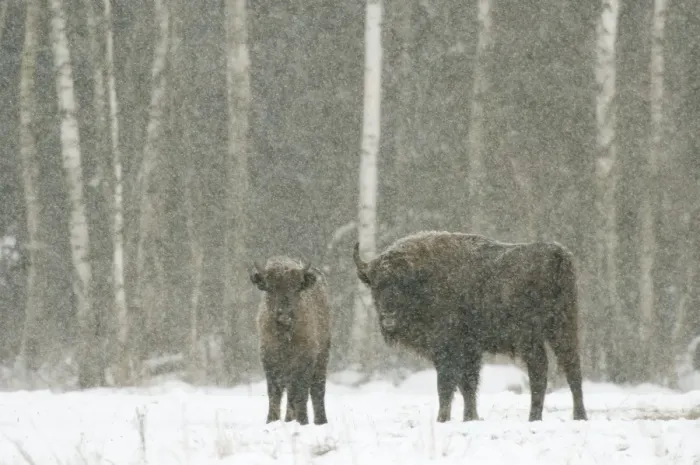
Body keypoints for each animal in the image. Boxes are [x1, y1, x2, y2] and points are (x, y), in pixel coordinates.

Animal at [251, 256, 332, 425]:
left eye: (297, 288)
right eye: (270, 288)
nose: (285, 314)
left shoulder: (305, 362)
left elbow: (301, 393)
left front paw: (303, 421)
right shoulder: (269, 361)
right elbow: (275, 393)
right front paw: (271, 420)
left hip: (322, 357)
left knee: (316, 390)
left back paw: (320, 421)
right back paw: (289, 419)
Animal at [353, 230, 588, 422]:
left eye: (403, 284)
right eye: (376, 286)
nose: (388, 316)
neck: (425, 280)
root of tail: (557, 255)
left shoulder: (446, 348)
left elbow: (446, 384)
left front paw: (443, 419)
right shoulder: (470, 350)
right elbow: (468, 385)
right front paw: (470, 417)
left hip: (532, 337)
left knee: (540, 370)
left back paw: (535, 418)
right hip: (564, 328)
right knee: (571, 368)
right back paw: (578, 416)